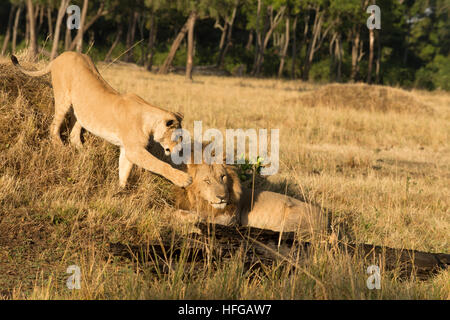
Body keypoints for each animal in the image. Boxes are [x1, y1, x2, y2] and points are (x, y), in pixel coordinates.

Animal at [10, 52, 190, 188]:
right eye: (178, 137)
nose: (180, 151)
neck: (149, 119)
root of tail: (60, 55)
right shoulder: (135, 150)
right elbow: (160, 165)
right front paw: (183, 179)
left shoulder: (127, 150)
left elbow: (124, 170)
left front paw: (120, 191)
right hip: (63, 98)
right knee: (53, 126)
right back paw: (61, 148)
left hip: (80, 110)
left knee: (74, 134)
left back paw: (85, 154)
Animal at [175, 161, 326, 236]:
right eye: (207, 181)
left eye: (223, 177)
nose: (222, 197)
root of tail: (325, 217)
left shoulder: (230, 219)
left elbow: (204, 218)